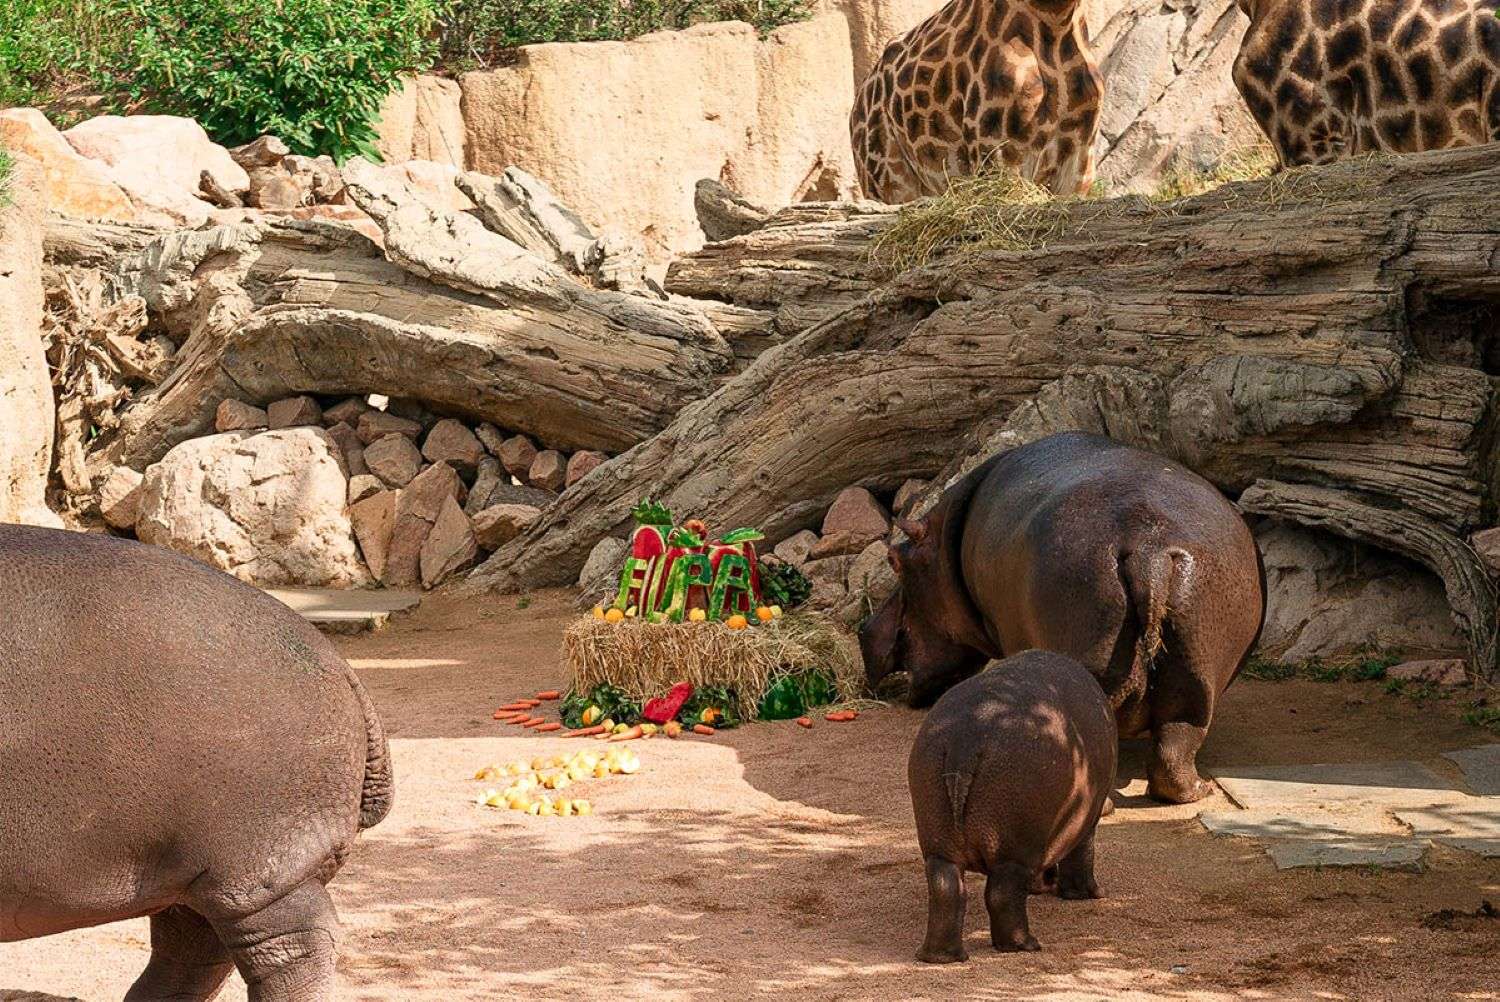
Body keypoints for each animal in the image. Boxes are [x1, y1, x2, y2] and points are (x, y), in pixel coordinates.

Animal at [900, 651, 1116, 960]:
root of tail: (964, 742)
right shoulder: (1088, 818)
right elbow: (1082, 854)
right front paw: (1086, 895)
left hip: (938, 842)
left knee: (946, 890)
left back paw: (940, 957)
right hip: (1013, 849)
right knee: (1002, 893)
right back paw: (1026, 945)